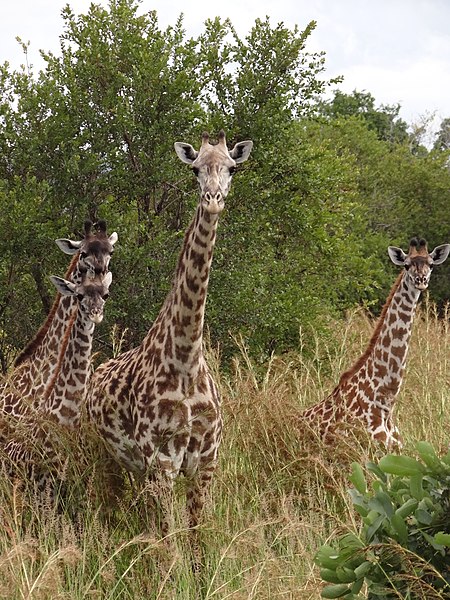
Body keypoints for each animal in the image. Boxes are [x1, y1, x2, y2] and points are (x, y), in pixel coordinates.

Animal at [85, 130, 253, 540]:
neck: (186, 359)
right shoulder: (161, 460)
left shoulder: (206, 461)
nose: (213, 200)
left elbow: (195, 537)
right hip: (110, 457)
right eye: (195, 169)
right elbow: (170, 541)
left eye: (232, 168)